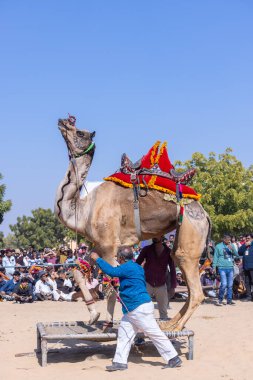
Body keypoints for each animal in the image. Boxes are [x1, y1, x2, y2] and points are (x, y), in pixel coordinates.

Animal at [55, 116, 210, 330]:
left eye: (79, 132)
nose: (62, 121)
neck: (84, 208)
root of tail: (205, 214)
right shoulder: (98, 244)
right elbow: (79, 271)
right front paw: (94, 315)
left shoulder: (110, 244)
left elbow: (113, 283)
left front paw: (108, 324)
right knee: (181, 268)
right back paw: (169, 324)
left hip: (191, 229)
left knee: (196, 289)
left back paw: (176, 327)